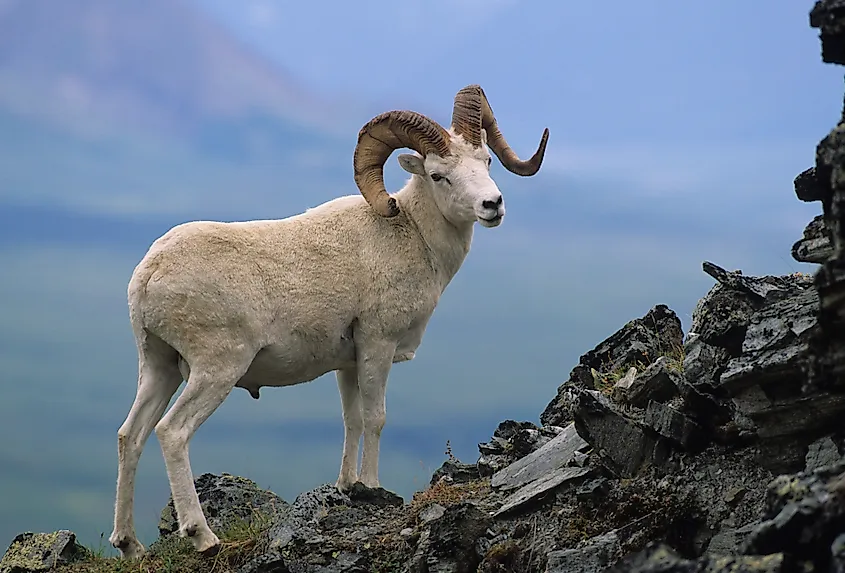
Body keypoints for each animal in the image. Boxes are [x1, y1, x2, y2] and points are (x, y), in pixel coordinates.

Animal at [108, 84, 549, 559]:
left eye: (485, 161)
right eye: (438, 175)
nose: (492, 205)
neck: (411, 235)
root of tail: (149, 273)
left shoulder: (347, 363)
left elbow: (351, 420)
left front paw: (347, 486)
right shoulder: (378, 346)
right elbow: (375, 418)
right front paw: (372, 487)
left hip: (159, 367)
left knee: (130, 435)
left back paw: (129, 545)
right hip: (215, 370)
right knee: (172, 433)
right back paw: (203, 537)